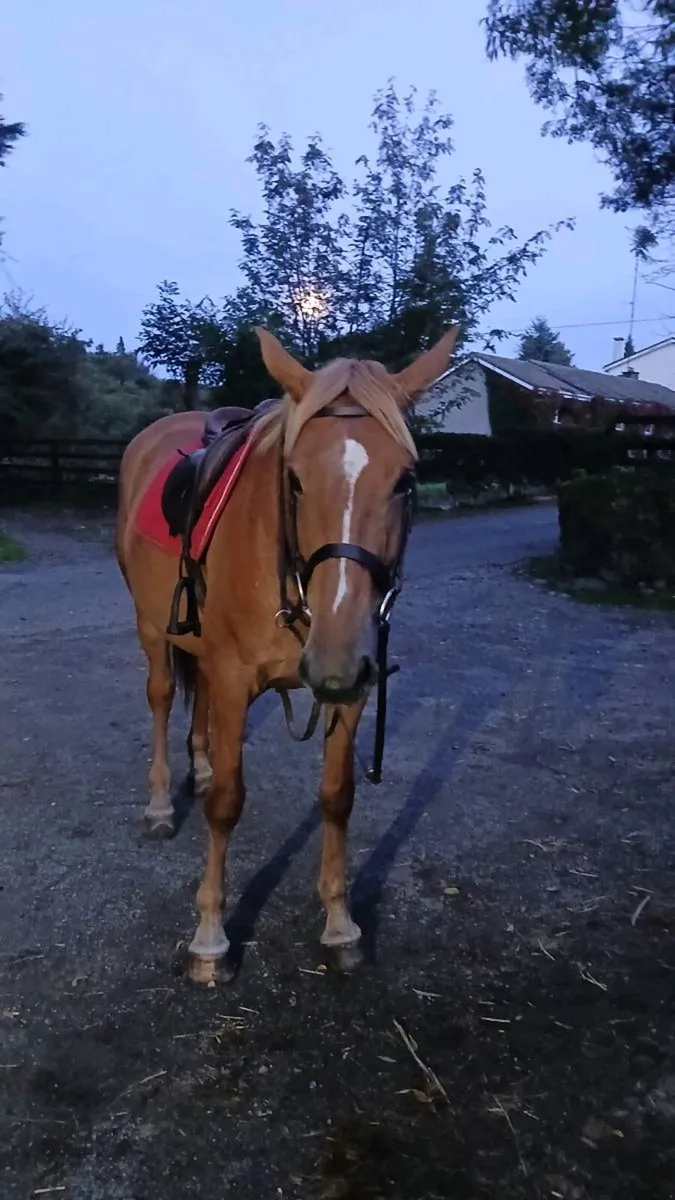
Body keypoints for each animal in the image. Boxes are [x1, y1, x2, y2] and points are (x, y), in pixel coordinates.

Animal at [115, 326, 458, 983]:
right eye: (294, 479)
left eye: (405, 481)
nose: (332, 662)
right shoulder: (233, 676)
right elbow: (227, 804)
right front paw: (210, 938)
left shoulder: (352, 688)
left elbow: (337, 797)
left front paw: (340, 923)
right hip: (152, 630)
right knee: (163, 698)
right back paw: (160, 804)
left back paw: (198, 767)